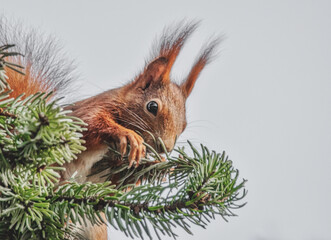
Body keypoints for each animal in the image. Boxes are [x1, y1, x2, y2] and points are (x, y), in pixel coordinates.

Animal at [2, 17, 222, 239]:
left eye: (184, 125)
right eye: (152, 107)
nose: (166, 148)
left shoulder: (111, 168)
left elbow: (119, 180)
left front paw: (159, 164)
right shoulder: (90, 111)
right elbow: (92, 123)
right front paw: (129, 136)